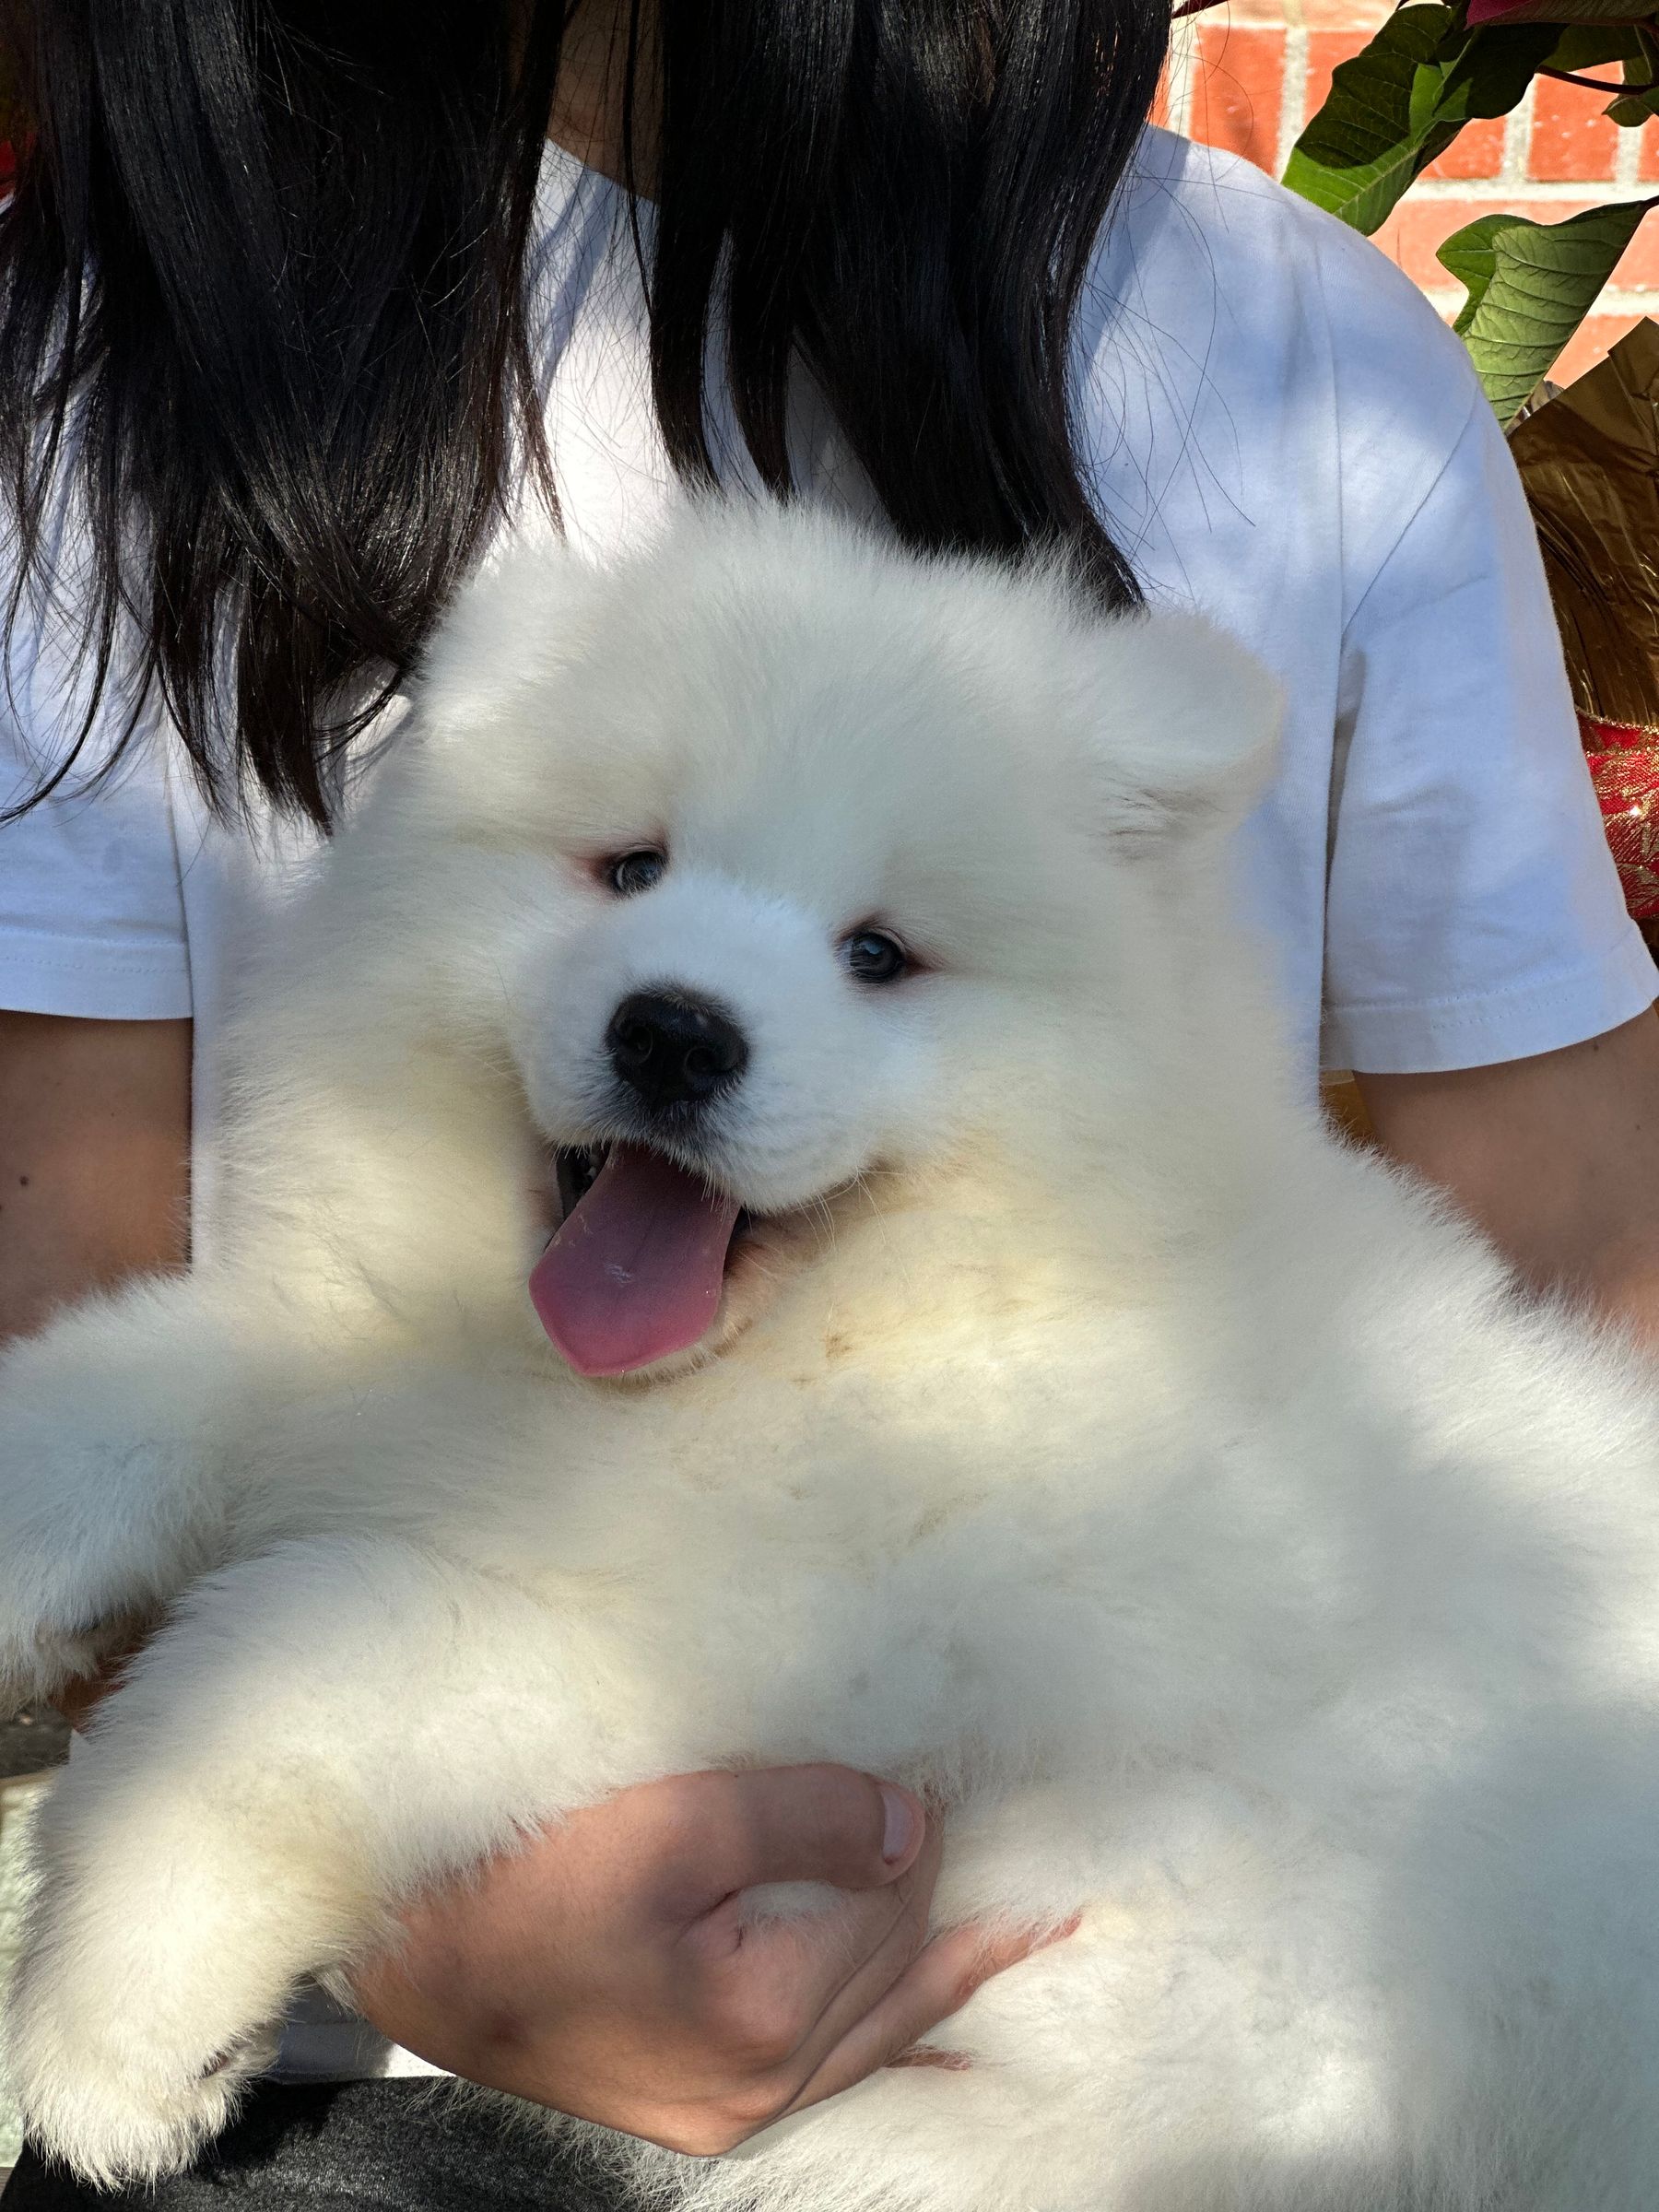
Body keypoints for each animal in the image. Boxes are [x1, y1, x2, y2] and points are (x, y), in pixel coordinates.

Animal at [0, 509, 1659, 2203]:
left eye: (878, 954)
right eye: (632, 869)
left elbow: (280, 1666)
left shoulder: (777, 1655)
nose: (674, 1031)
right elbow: (152, 1381)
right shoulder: (391, 1375)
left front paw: (117, 2022)